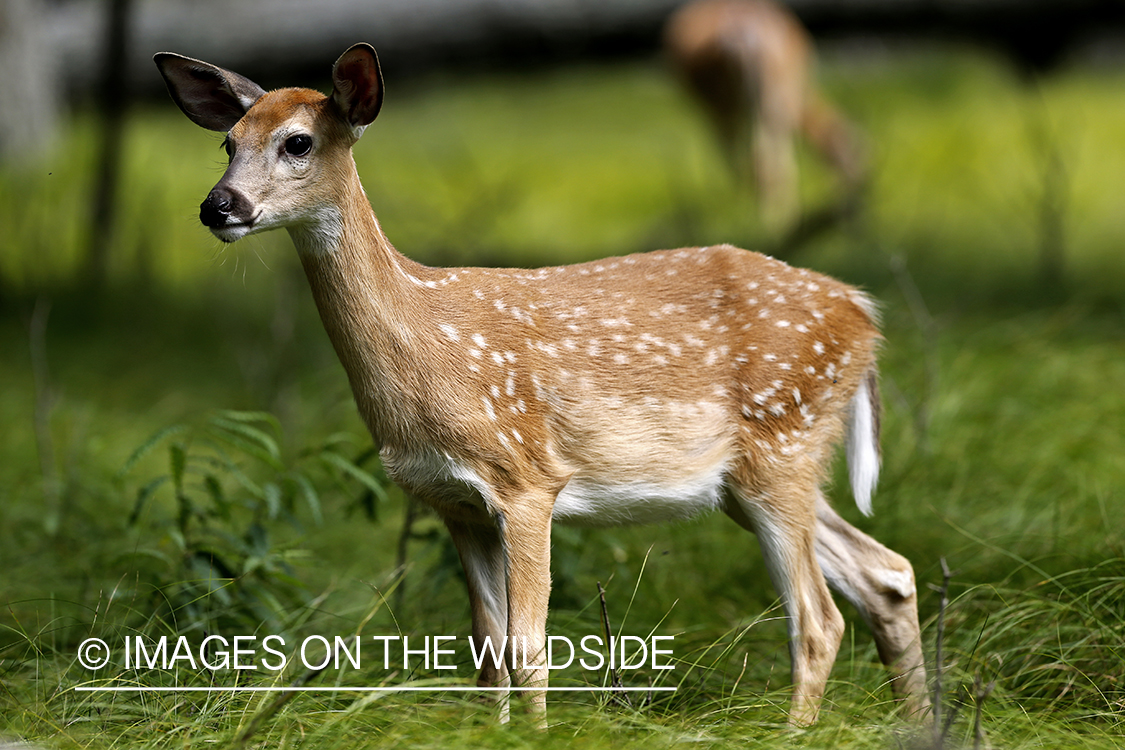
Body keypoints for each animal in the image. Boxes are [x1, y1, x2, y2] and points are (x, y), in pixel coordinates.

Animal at [160, 41, 931, 728]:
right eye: (227, 142)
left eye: (297, 142)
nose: (217, 206)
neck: (427, 347)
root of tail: (864, 315)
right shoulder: (453, 502)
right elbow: (486, 649)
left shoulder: (527, 479)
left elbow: (528, 649)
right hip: (751, 477)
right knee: (887, 574)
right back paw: (920, 723)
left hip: (783, 441)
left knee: (819, 620)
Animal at [661, 0, 864, 232]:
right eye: (857, 153)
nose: (859, 187)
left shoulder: (721, 110)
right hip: (768, 100)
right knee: (771, 158)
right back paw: (778, 218)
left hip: (755, 102)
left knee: (763, 156)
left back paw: (770, 217)